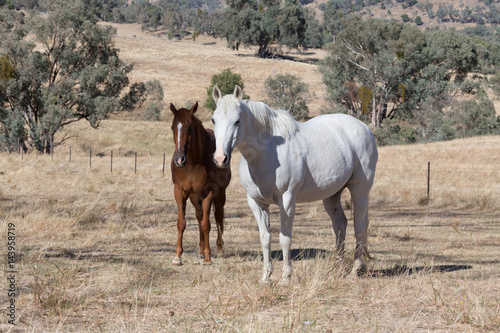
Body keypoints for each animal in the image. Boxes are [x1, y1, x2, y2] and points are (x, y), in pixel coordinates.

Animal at [169, 102, 229, 264]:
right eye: (172, 127)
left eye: (189, 127)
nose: (179, 160)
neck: (192, 164)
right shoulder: (179, 191)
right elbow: (181, 222)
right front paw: (177, 256)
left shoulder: (209, 192)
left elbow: (206, 224)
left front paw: (208, 257)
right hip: (195, 197)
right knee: (200, 215)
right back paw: (201, 251)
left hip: (219, 194)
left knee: (217, 216)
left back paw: (219, 250)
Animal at [211, 85, 378, 282]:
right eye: (214, 120)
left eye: (237, 121)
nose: (220, 159)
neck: (267, 153)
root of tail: (364, 127)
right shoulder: (256, 202)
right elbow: (265, 237)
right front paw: (266, 277)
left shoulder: (287, 199)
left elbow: (285, 238)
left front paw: (285, 277)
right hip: (331, 195)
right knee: (340, 225)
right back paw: (337, 267)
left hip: (360, 189)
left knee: (359, 224)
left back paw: (356, 269)